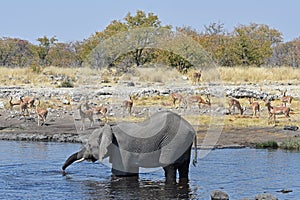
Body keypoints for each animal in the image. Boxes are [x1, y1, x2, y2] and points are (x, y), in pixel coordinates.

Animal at [61, 110, 197, 184]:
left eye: (89, 145)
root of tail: (191, 129)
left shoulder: (122, 148)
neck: (109, 129)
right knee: (184, 167)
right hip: (183, 144)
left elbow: (120, 173)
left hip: (173, 142)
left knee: (169, 167)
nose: (62, 171)